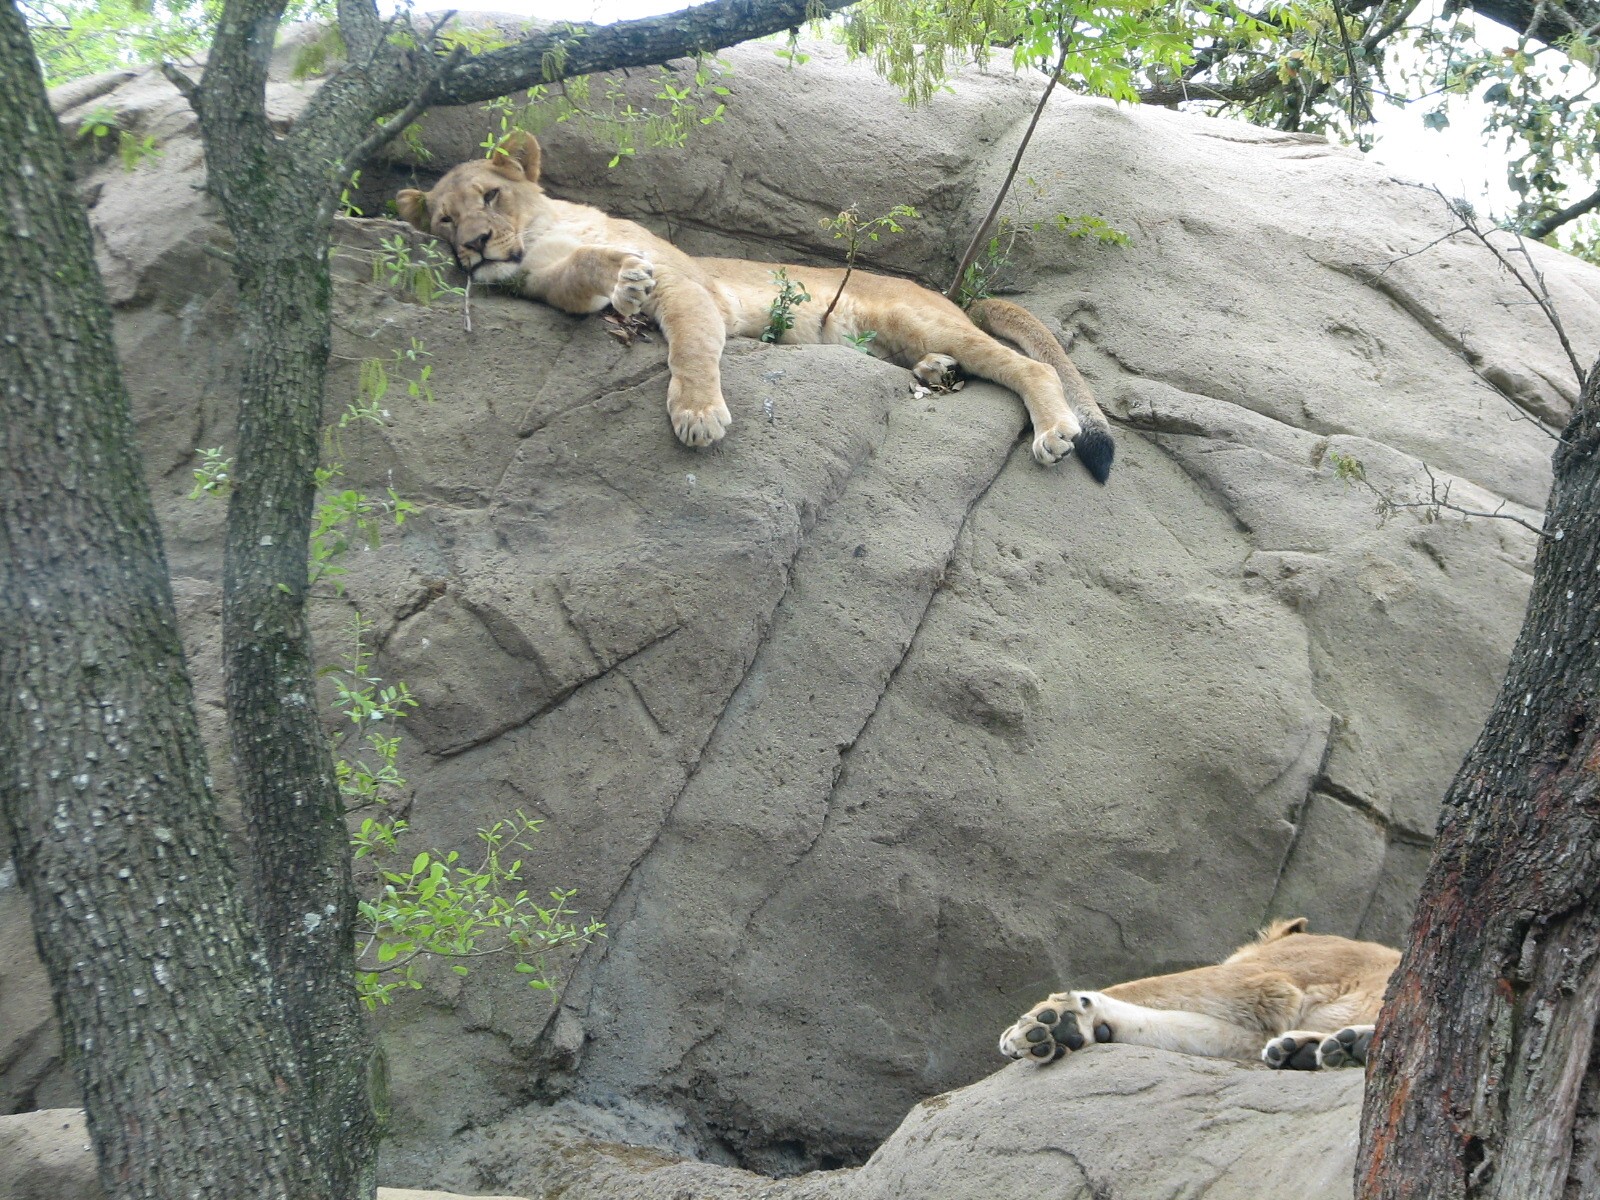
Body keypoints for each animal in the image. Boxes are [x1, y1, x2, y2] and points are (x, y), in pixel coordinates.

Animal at [395, 132, 1114, 482]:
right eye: (444, 218)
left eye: (490, 196)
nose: (473, 246)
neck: (544, 234)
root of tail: (947, 295)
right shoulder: (549, 282)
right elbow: (585, 274)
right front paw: (623, 283)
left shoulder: (691, 284)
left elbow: (689, 345)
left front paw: (697, 415)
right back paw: (937, 372)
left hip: (922, 317)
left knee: (1031, 368)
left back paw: (1053, 432)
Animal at [998, 918, 1399, 1071]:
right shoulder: (1253, 1035)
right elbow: (1175, 1027)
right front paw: (1067, 1029)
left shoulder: (1267, 979)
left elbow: (1152, 986)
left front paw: (1034, 1025)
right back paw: (1303, 1051)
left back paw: (1350, 1046)